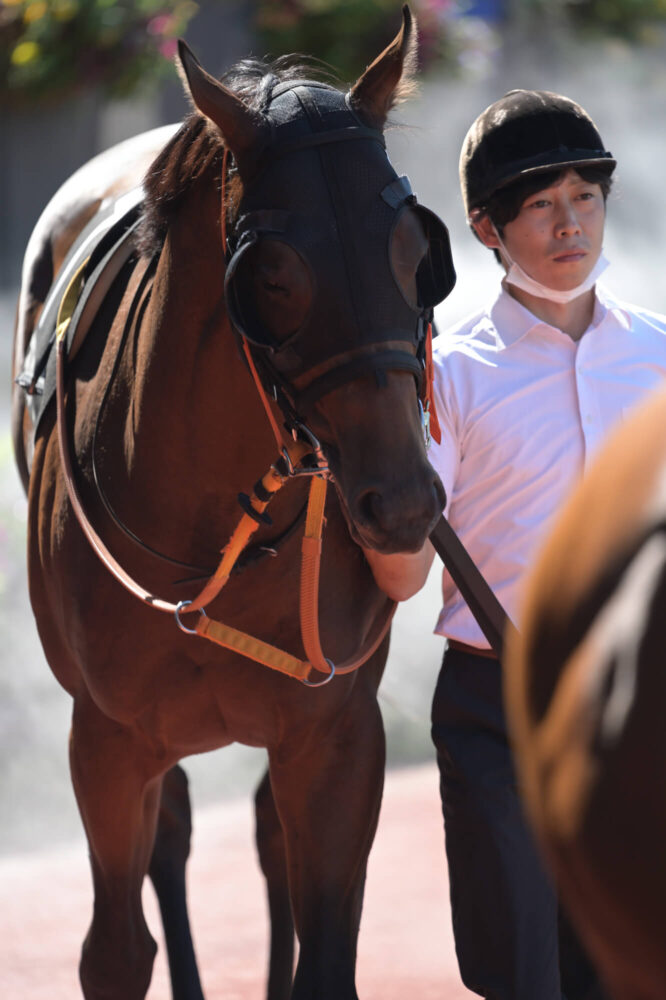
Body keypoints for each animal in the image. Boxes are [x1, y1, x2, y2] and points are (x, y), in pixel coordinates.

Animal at [10, 9, 454, 1000]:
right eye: (274, 273)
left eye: (419, 256)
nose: (405, 504)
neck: (219, 527)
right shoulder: (107, 739)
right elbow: (115, 950)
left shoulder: (333, 732)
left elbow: (323, 944)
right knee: (172, 838)